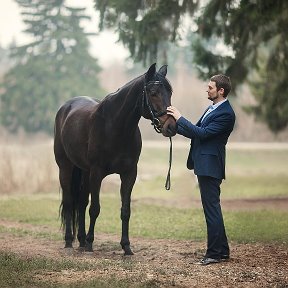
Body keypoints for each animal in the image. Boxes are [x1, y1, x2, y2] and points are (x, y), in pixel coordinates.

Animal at [53, 63, 176, 254]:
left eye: (170, 92)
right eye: (153, 92)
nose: (171, 126)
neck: (115, 127)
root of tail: (66, 107)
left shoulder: (129, 174)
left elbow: (125, 210)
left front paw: (126, 246)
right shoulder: (97, 173)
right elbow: (95, 209)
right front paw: (91, 243)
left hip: (84, 172)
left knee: (81, 202)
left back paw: (81, 241)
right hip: (65, 167)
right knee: (69, 202)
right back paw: (69, 242)